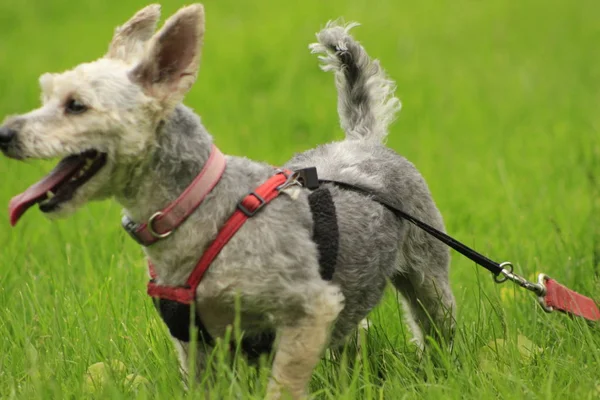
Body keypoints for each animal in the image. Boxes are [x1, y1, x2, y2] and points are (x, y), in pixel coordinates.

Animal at [0, 4, 458, 398]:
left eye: (76, 105)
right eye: (45, 95)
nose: (5, 133)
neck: (199, 210)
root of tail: (362, 139)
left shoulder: (310, 310)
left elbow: (283, 385)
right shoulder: (195, 342)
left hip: (428, 274)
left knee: (435, 323)